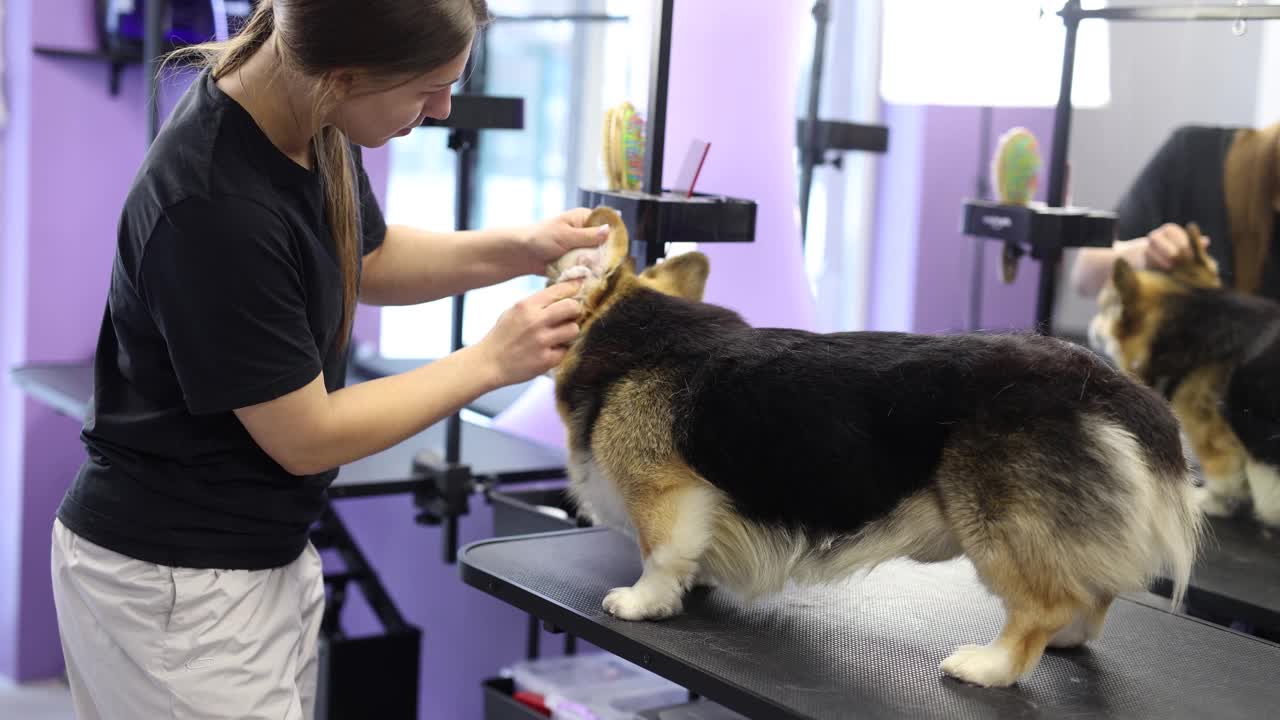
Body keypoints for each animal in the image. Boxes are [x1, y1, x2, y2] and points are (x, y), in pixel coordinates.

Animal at [547, 206, 1198, 681]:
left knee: (1045, 604)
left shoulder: (663, 492)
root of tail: (1109, 387)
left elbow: (660, 555)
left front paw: (643, 602)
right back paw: (1065, 641)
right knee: (1094, 594)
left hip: (998, 528)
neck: (629, 337)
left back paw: (988, 666)